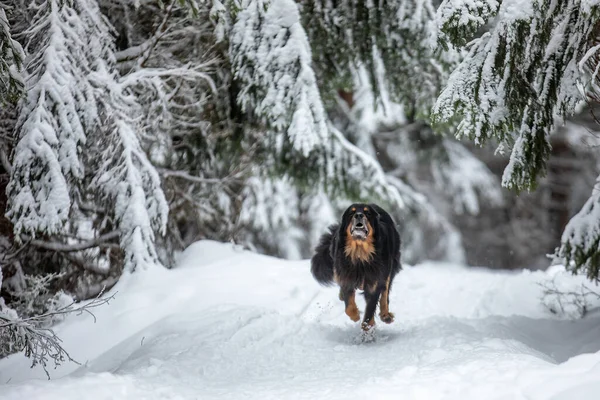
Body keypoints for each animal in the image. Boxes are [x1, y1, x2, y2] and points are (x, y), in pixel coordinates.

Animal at [312, 203, 400, 332]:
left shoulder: (375, 280)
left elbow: (370, 307)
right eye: (351, 212)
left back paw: (385, 316)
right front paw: (355, 315)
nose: (359, 215)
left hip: (389, 268)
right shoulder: (346, 276)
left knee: (385, 293)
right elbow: (349, 305)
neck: (359, 253)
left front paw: (368, 325)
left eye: (367, 213)